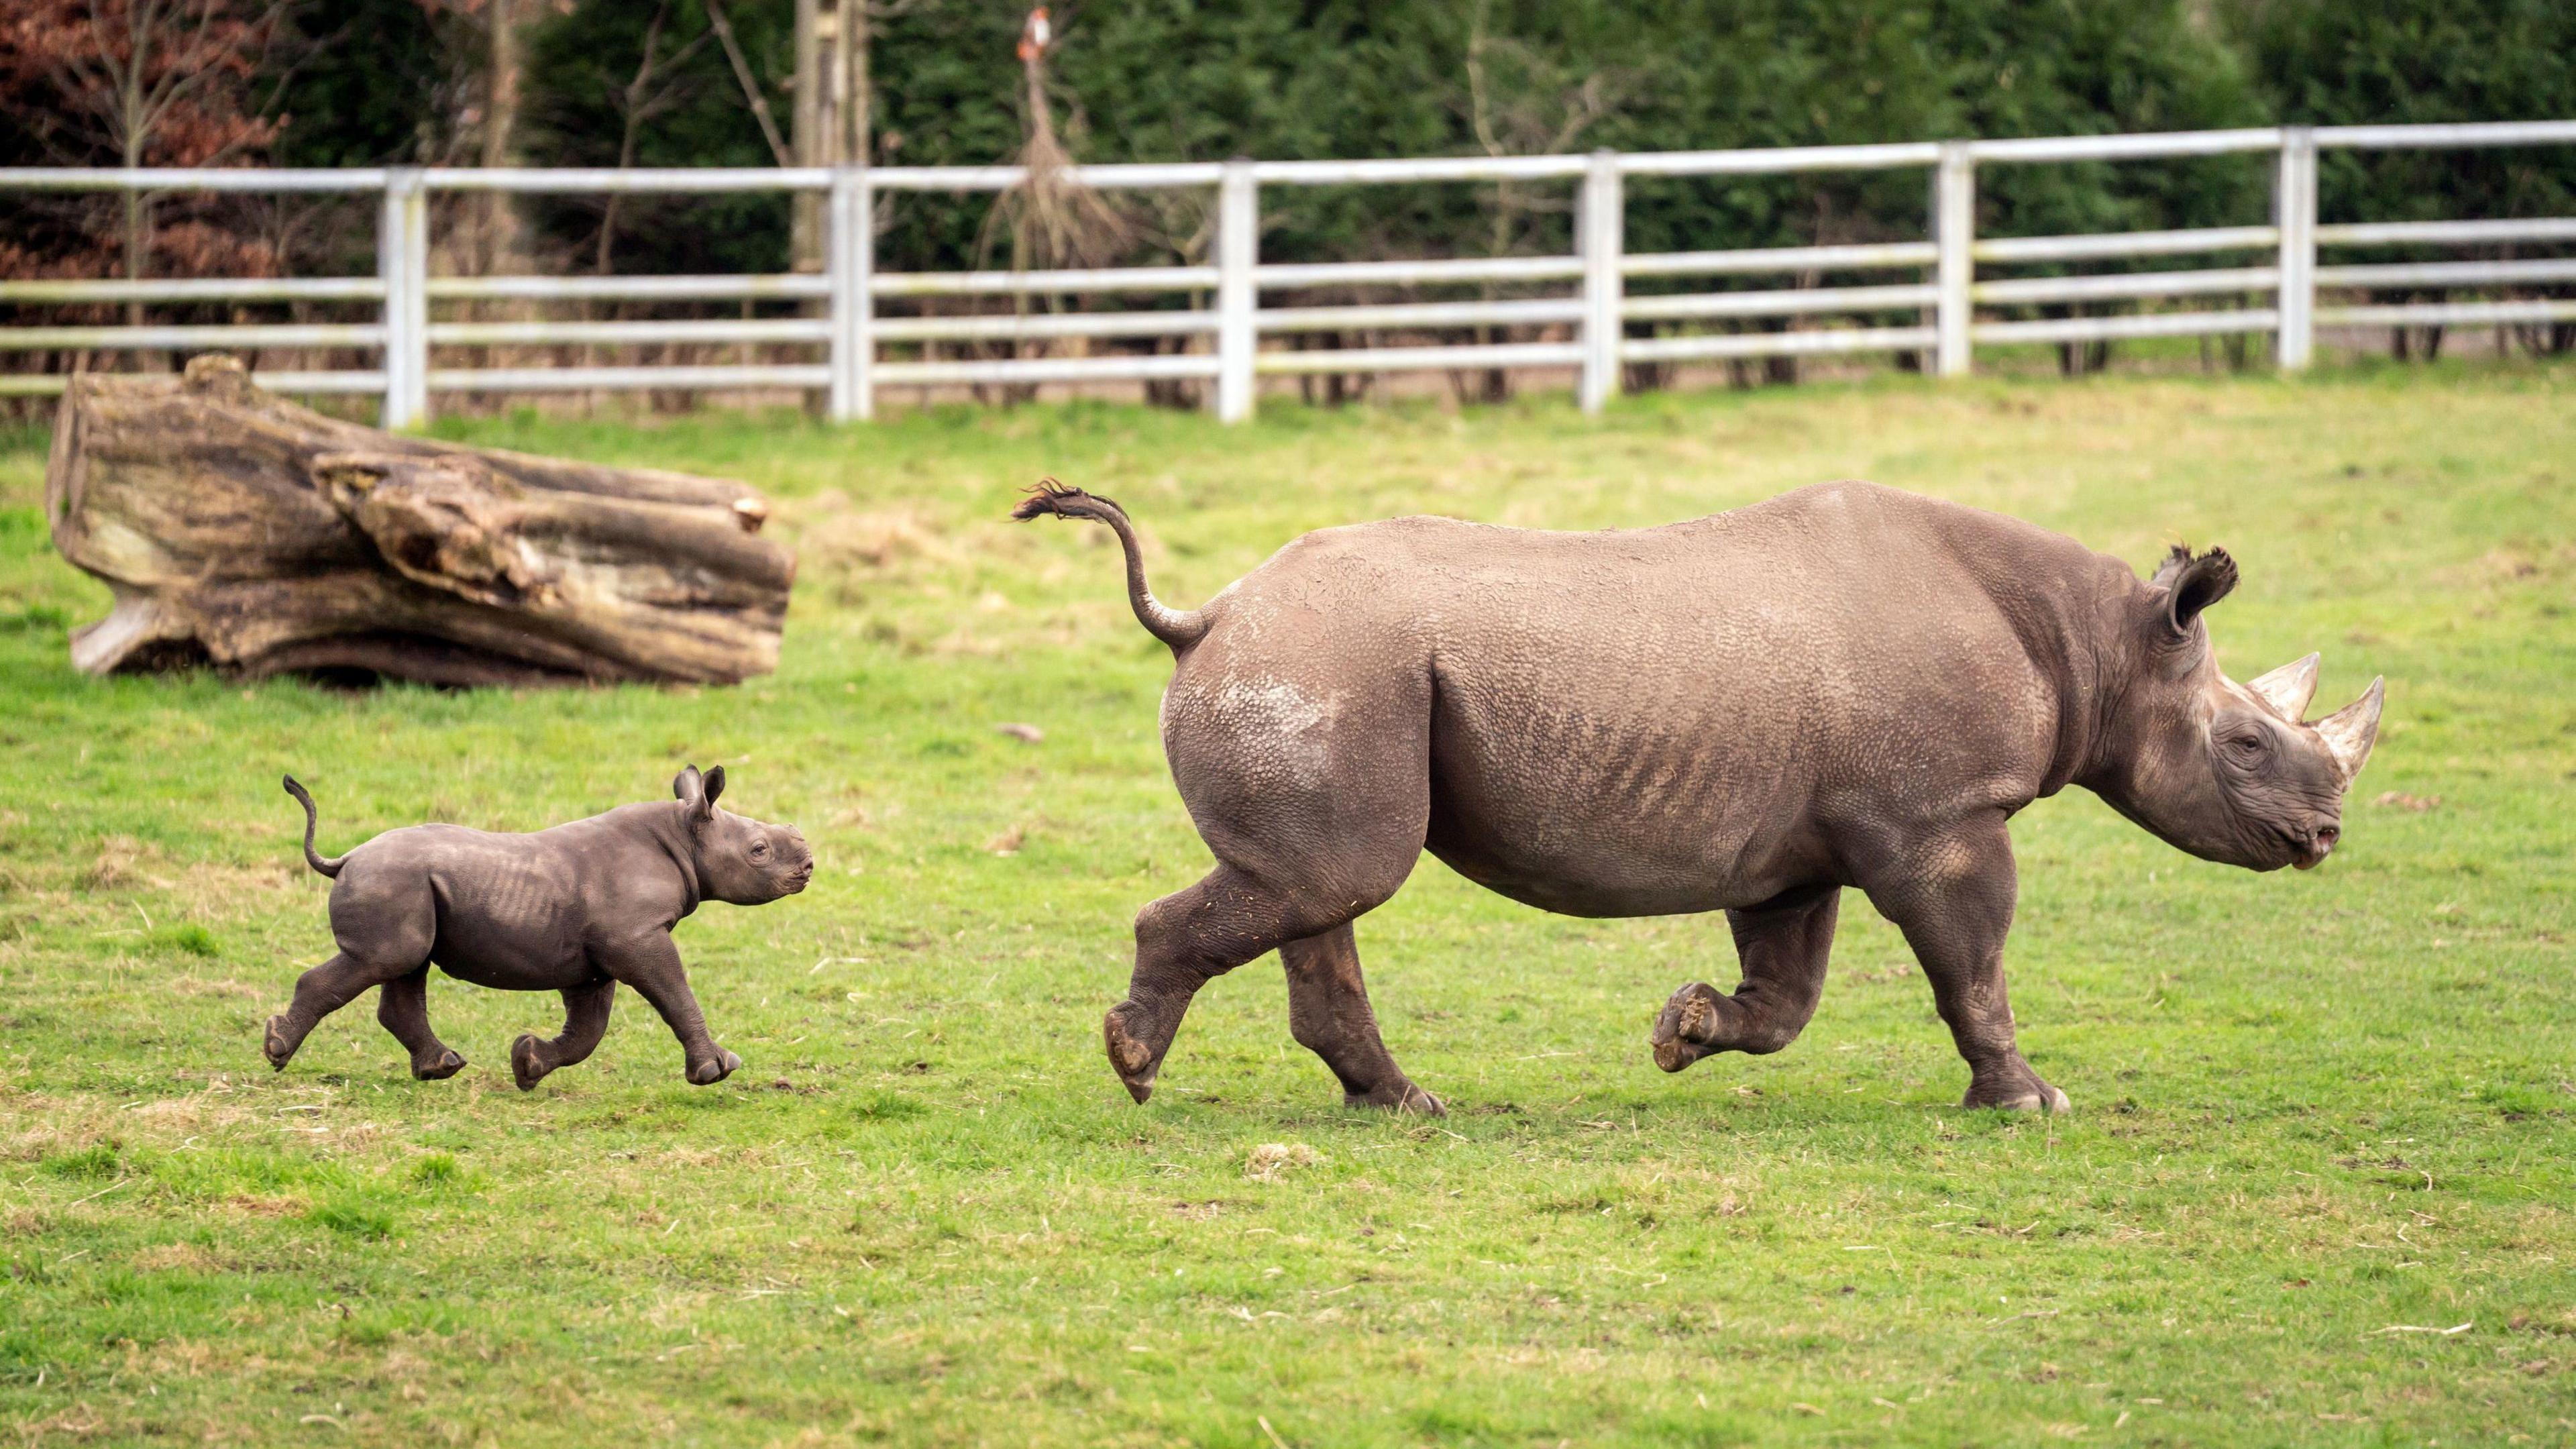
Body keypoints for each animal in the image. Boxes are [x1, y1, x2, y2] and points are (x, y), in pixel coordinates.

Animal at [265, 768, 808, 1083]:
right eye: (759, 851)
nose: (808, 865)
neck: (685, 833)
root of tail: (345, 858)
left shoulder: (599, 954)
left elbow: (589, 1028)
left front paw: (527, 1064)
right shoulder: (635, 937)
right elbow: (675, 993)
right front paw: (718, 1070)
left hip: (404, 884)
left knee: (405, 966)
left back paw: (442, 1068)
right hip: (390, 881)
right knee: (386, 959)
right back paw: (277, 1052)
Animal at [1014, 479, 2380, 1108]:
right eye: (2244, 746)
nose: (2323, 837)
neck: (2097, 645)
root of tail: (1206, 618)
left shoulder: (1807, 844)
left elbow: (1788, 996)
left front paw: (1682, 1033)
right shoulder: (1941, 817)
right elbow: (1975, 966)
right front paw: (2030, 1102)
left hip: (1322, 670)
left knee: (1317, 892)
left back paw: (1402, 1105)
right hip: (1322, 667)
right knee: (1331, 881)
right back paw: (1137, 1067)